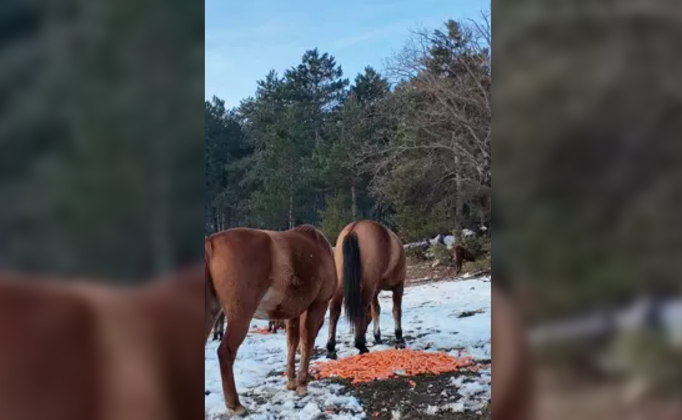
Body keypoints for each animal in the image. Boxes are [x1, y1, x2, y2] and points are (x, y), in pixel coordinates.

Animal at [205, 225, 338, 416]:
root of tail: (211, 243)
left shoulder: (293, 312)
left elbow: (292, 342)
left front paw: (291, 380)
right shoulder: (317, 306)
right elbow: (307, 342)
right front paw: (302, 383)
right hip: (240, 317)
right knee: (225, 352)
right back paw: (235, 404)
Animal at [326, 218, 406, 360]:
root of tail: (353, 229)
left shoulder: (374, 291)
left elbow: (375, 310)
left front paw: (377, 336)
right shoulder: (398, 285)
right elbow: (396, 311)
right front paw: (399, 338)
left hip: (340, 284)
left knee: (335, 309)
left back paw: (331, 348)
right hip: (368, 287)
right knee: (361, 309)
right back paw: (361, 345)